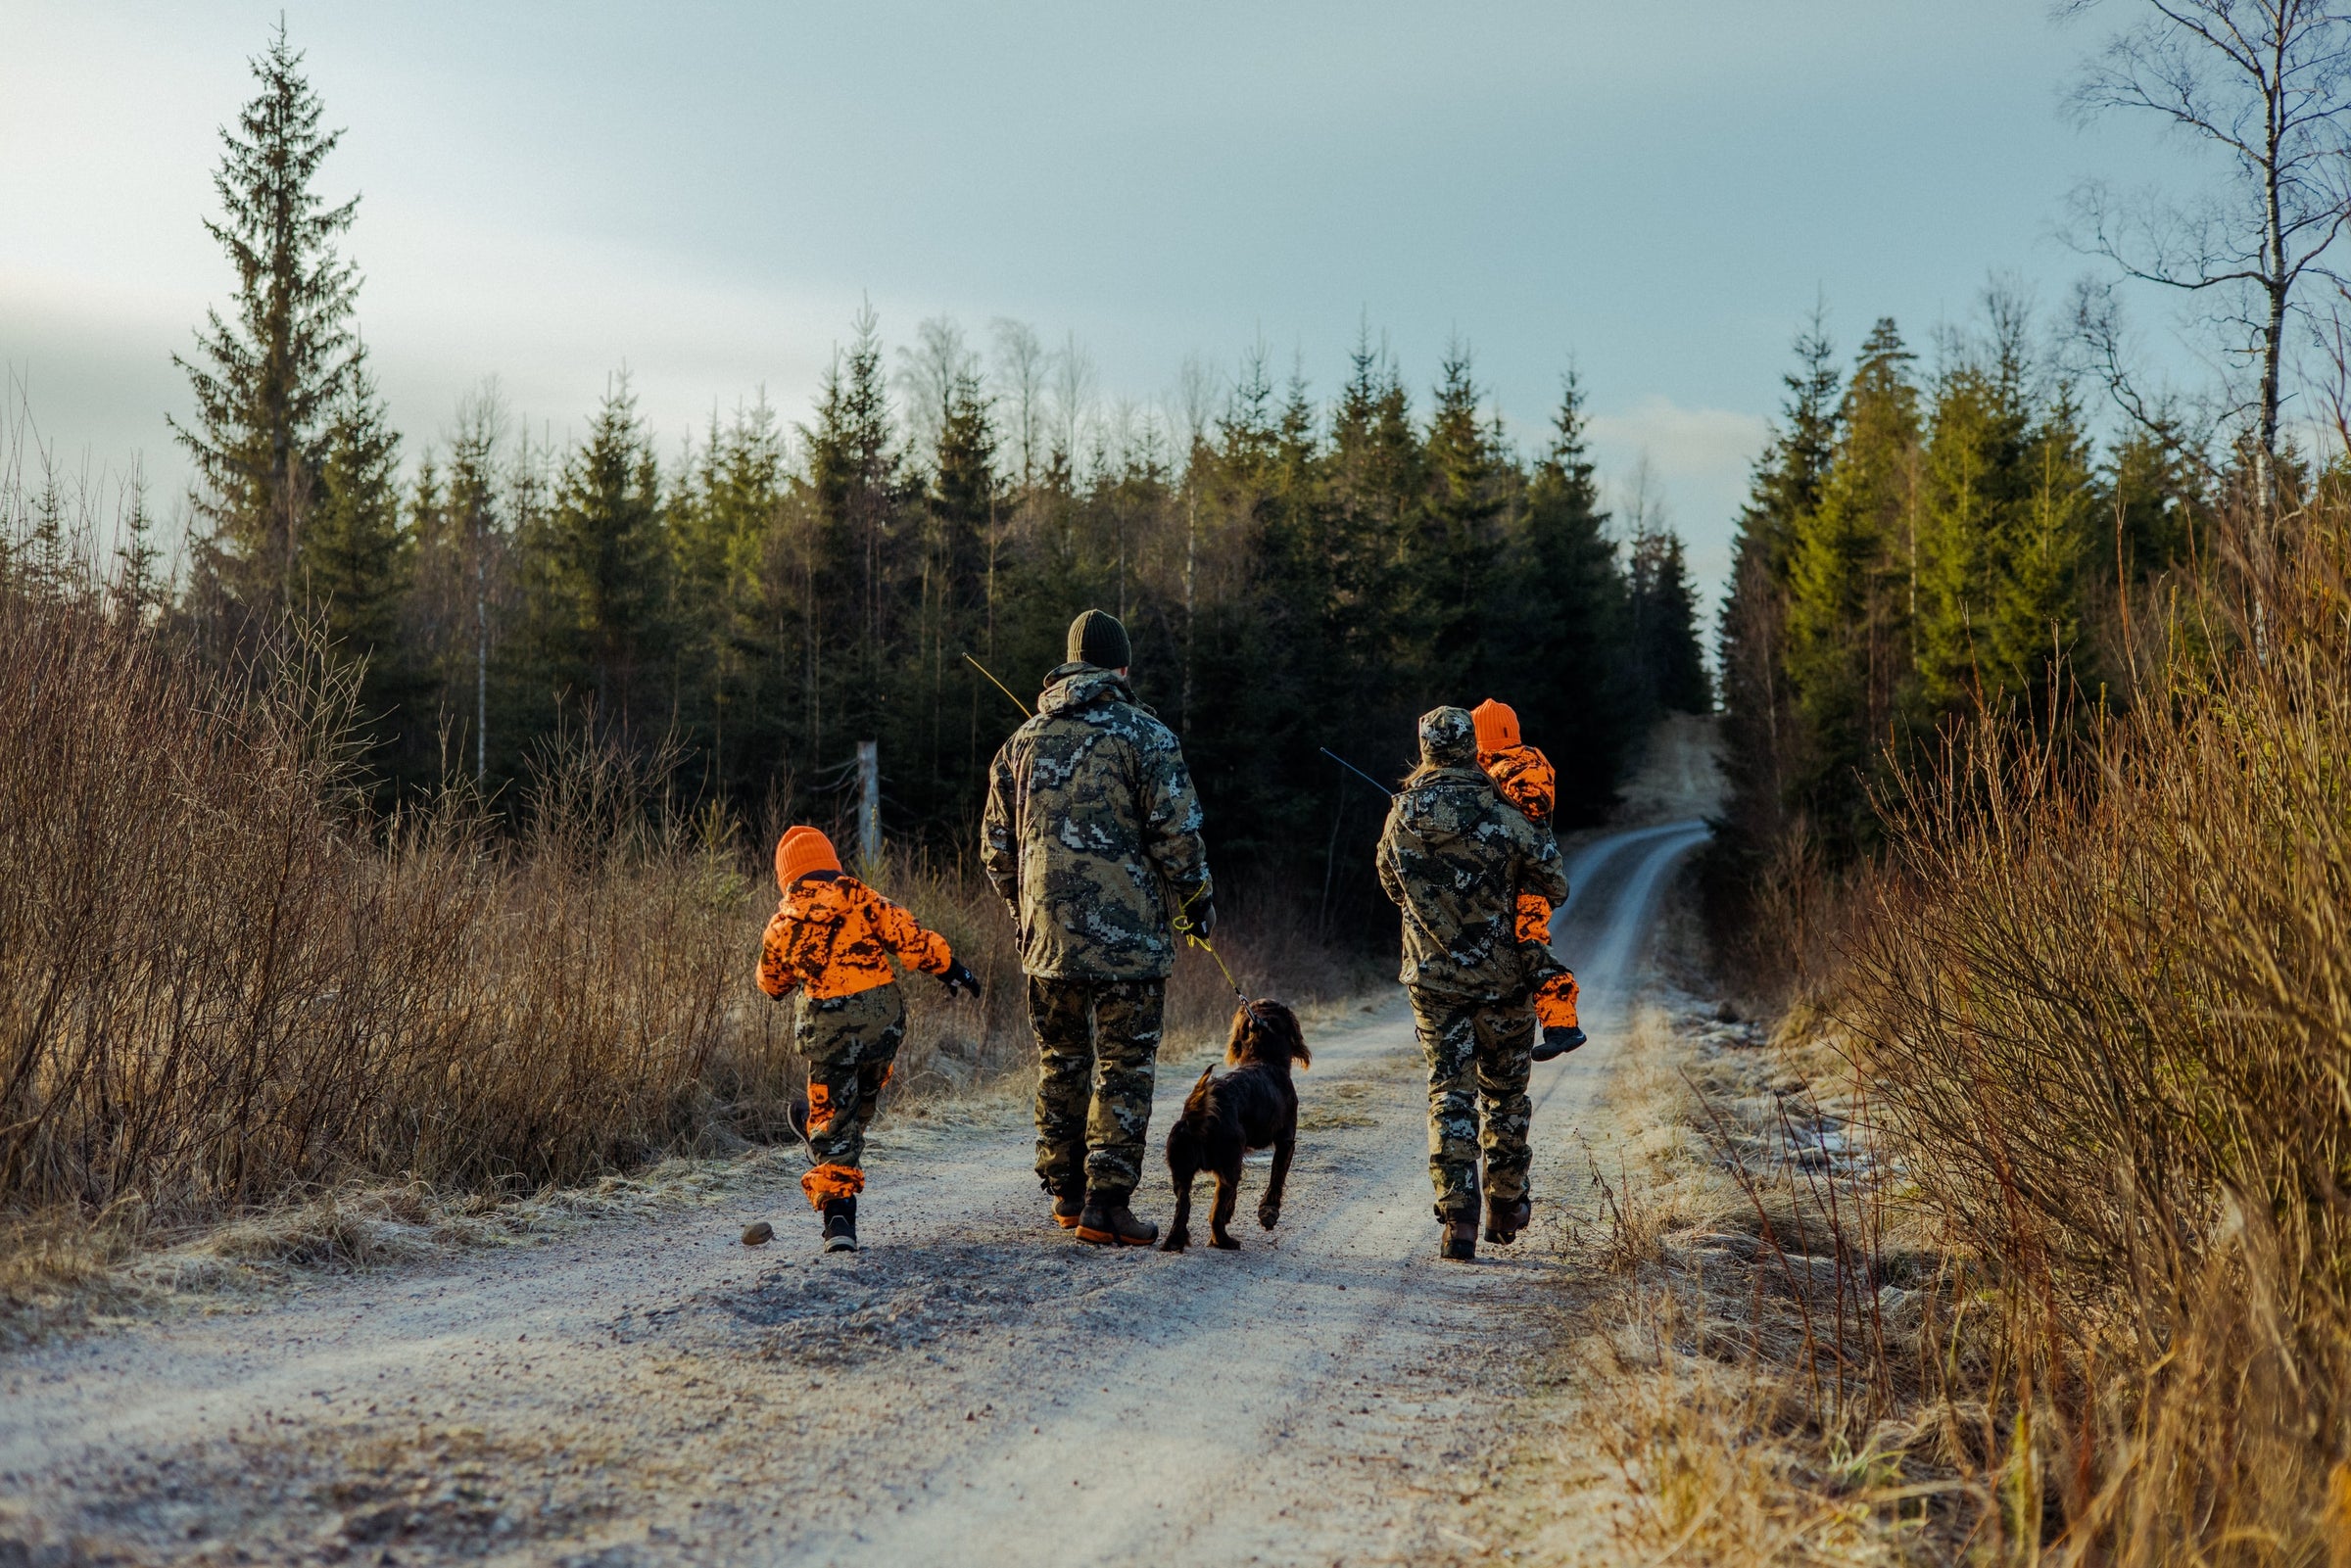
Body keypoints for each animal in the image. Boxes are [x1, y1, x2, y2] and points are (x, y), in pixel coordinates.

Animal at [1161, 999, 1310, 1252]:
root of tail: (1195, 1118)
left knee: (1183, 1207)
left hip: (1183, 1172)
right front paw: (1268, 1214)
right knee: (1215, 1214)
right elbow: (1276, 1179)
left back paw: (1174, 1241)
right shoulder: (1286, 1141)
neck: (1264, 1059)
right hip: (1229, 1164)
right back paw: (1224, 1241)